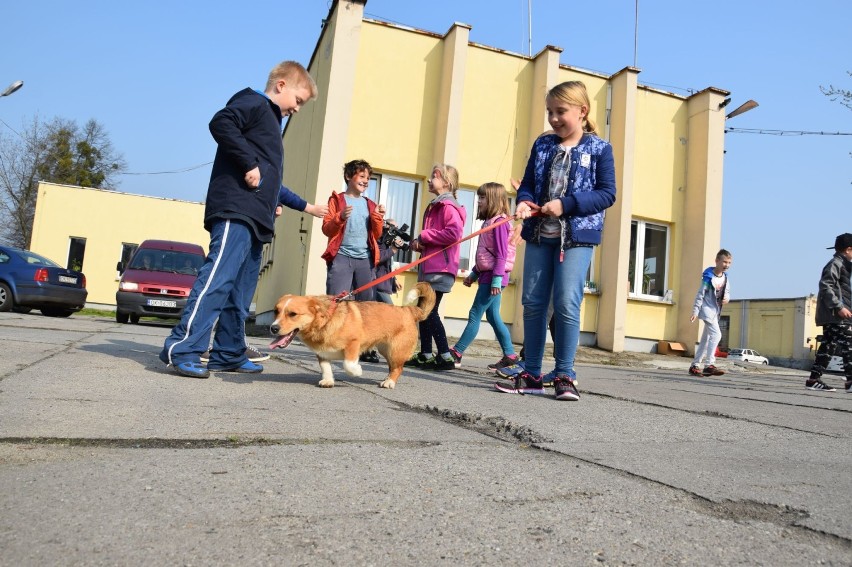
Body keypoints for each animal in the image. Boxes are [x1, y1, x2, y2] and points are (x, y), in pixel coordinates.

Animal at [270, 284, 436, 390]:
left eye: (293, 314)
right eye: (276, 311)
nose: (273, 328)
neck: (325, 320)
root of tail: (408, 310)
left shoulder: (353, 343)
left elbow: (348, 364)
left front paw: (357, 371)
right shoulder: (322, 352)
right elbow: (325, 367)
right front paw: (328, 380)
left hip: (396, 351)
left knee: (398, 368)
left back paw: (389, 382)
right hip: (386, 350)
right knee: (393, 367)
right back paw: (387, 379)